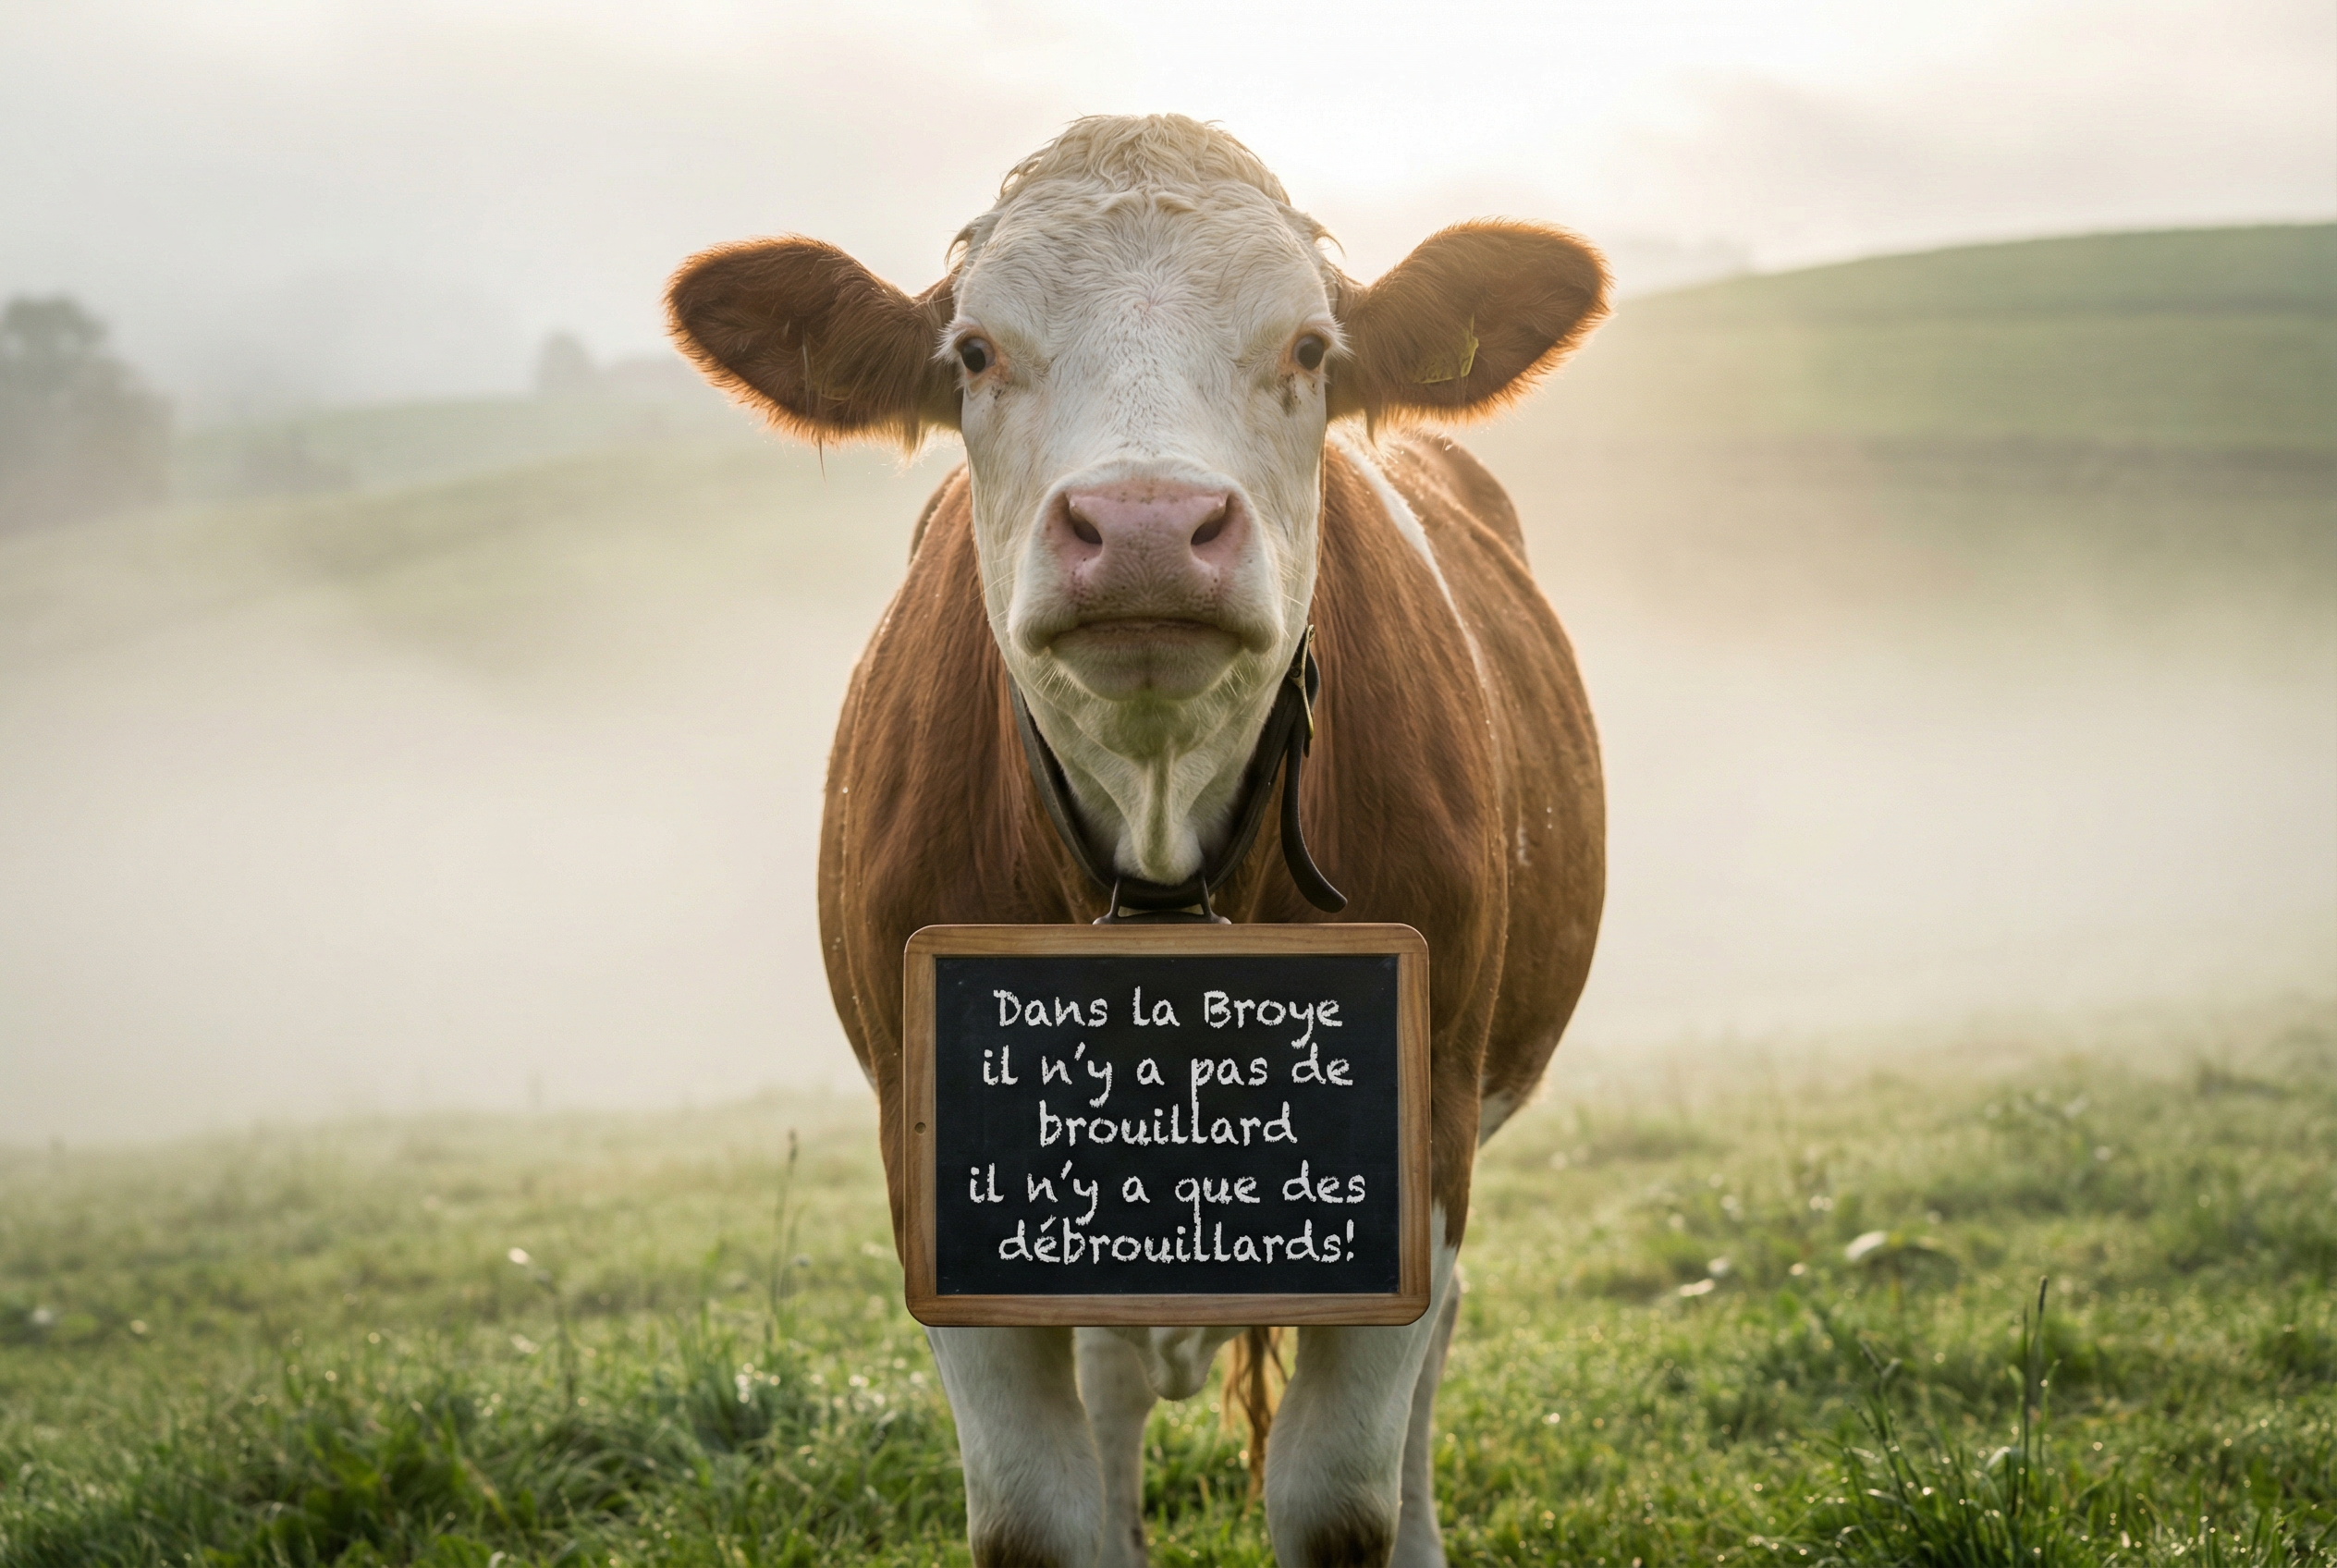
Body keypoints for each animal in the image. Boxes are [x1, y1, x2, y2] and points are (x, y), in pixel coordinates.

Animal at [667, 115, 1606, 1568]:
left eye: (1310, 349)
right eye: (974, 354)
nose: (1149, 527)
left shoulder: (1427, 1123)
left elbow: (1339, 1496)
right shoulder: (930, 1156)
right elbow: (1035, 1515)